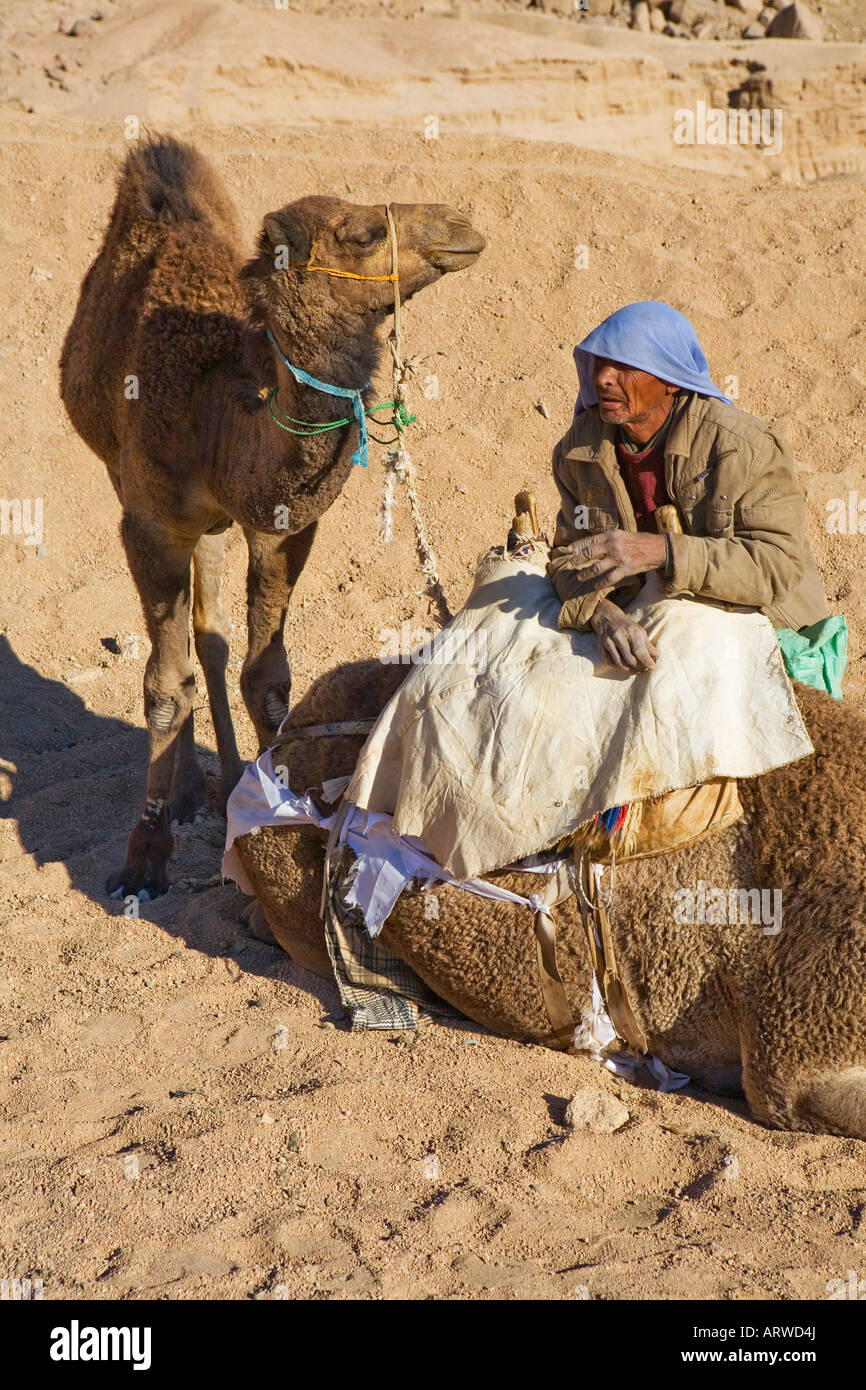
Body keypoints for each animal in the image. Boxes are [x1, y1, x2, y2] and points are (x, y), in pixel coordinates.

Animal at [60, 134, 485, 899]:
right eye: (361, 233)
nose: (461, 223)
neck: (218, 416)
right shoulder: (149, 523)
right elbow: (161, 687)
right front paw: (144, 859)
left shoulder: (278, 526)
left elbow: (266, 676)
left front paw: (269, 804)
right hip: (126, 482)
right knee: (185, 652)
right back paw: (187, 795)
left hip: (211, 531)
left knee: (211, 640)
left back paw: (220, 782)